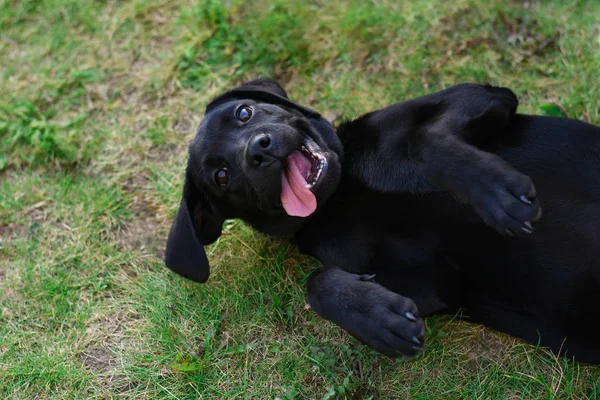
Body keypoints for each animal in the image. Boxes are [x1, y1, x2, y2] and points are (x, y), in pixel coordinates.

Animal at [164, 77, 600, 362]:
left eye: (245, 112)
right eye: (221, 175)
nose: (259, 149)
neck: (339, 195)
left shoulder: (483, 96)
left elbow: (425, 141)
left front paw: (497, 193)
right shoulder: (437, 282)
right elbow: (317, 282)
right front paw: (381, 323)